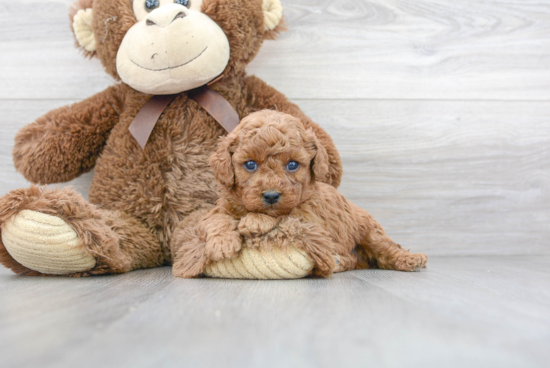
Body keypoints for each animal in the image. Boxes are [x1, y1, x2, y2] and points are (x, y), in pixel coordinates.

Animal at [175, 110, 430, 278]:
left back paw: (410, 259)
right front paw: (223, 243)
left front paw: (255, 221)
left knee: (387, 249)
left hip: (370, 232)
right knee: (347, 258)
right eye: (250, 164)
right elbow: (216, 220)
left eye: (292, 165)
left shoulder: (310, 217)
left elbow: (285, 216)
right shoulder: (220, 208)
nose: (271, 196)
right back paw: (338, 261)